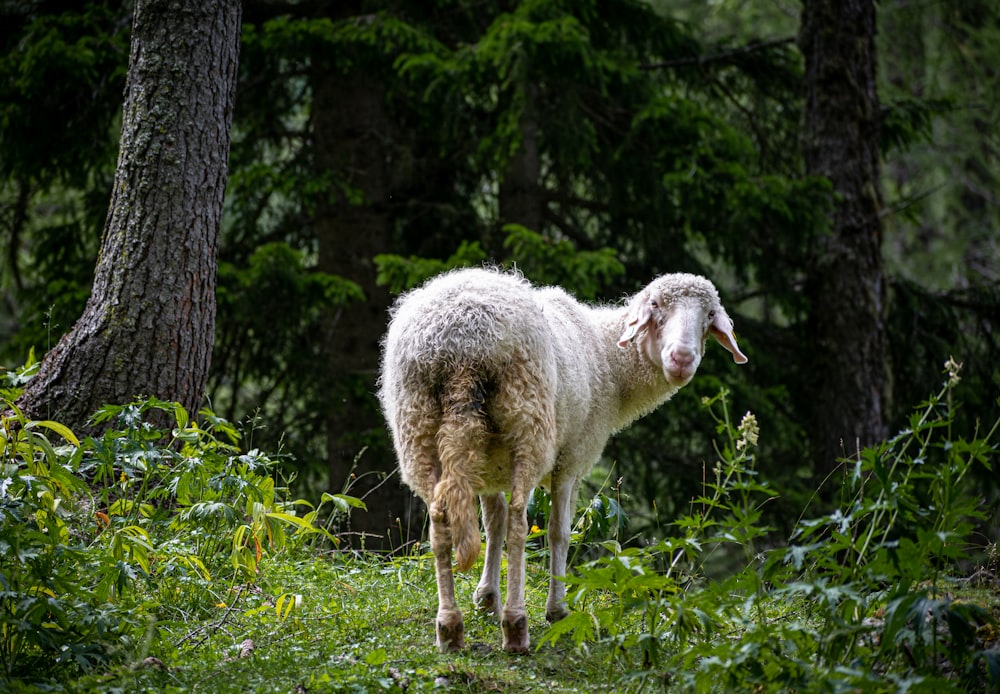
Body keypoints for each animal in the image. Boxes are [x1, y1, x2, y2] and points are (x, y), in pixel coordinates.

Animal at [378, 266, 748, 652]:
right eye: (656, 305)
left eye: (709, 315)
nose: (682, 359)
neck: (609, 361)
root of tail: (460, 343)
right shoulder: (571, 458)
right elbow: (558, 532)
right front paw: (555, 609)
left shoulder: (490, 467)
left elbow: (492, 524)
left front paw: (486, 598)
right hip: (529, 424)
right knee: (518, 524)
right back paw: (515, 625)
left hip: (418, 426)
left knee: (441, 524)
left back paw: (449, 626)